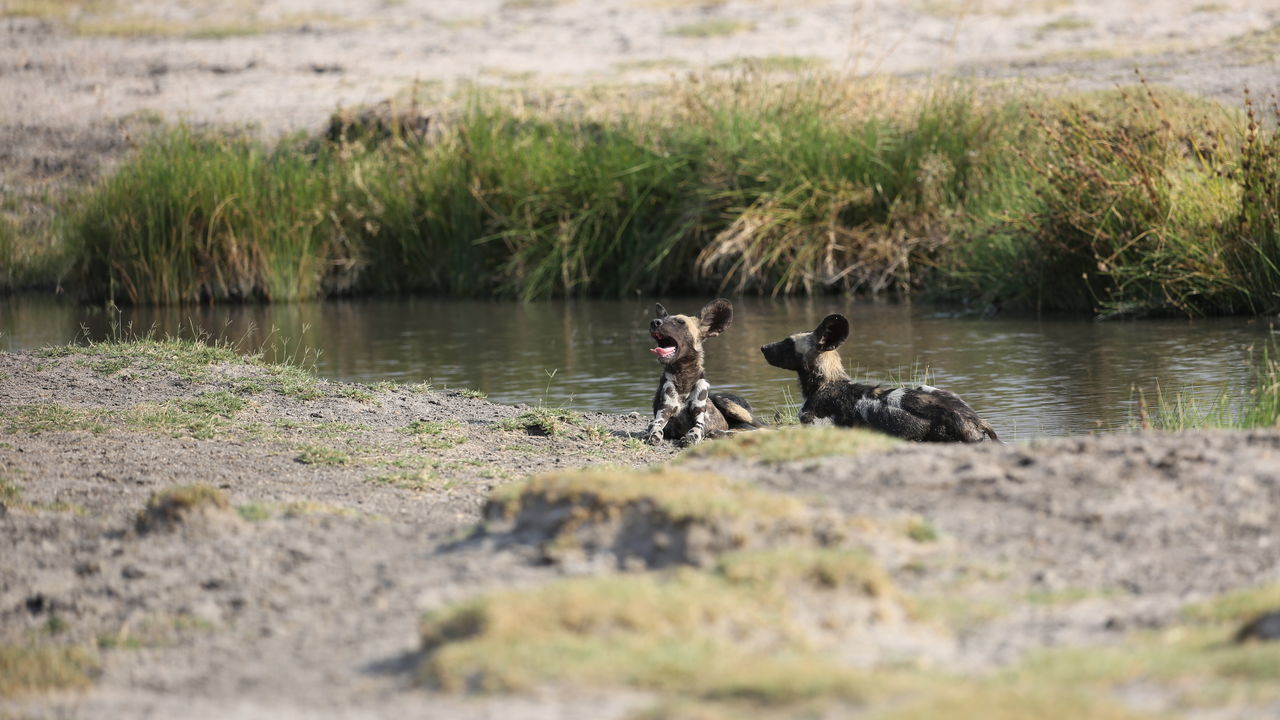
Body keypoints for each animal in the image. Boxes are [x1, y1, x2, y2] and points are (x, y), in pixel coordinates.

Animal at [645, 295, 752, 443]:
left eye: (680, 322)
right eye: (662, 319)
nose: (655, 322)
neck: (684, 377)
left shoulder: (699, 416)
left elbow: (697, 429)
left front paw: (691, 436)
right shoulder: (664, 412)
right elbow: (655, 426)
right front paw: (654, 434)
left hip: (727, 404)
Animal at [757, 313, 998, 443]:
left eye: (788, 342)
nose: (763, 347)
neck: (827, 384)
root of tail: (975, 419)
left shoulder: (814, 422)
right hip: (926, 386)